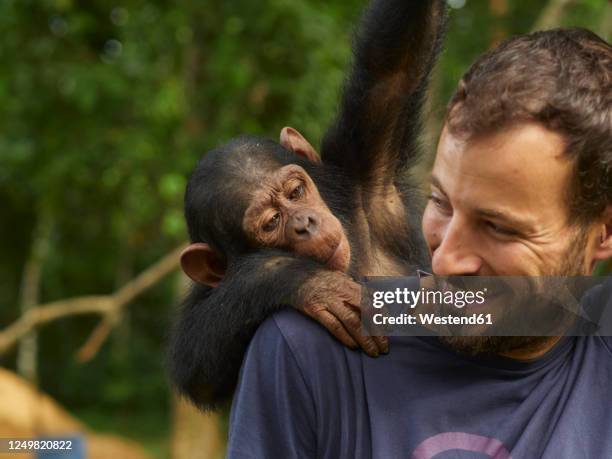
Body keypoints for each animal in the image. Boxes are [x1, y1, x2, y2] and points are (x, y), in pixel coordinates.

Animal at [170, 0, 448, 410]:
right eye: (271, 223)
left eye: (295, 192)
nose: (304, 223)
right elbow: (194, 360)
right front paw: (306, 282)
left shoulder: (360, 166)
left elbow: (394, 66)